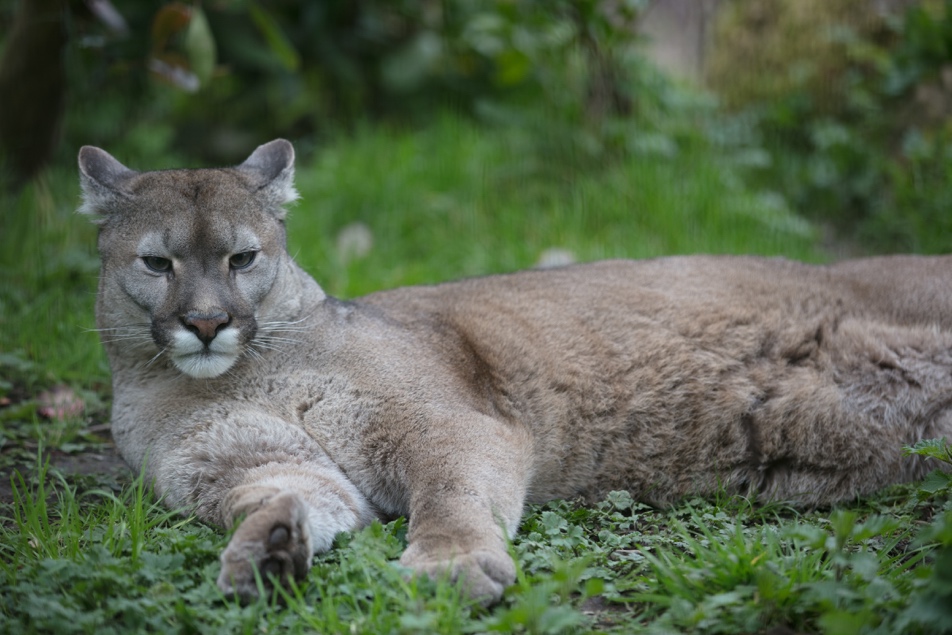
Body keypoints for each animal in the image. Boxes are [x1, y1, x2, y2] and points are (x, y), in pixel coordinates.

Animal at [80, 139, 952, 608]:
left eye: (242, 258)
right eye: (157, 263)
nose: (205, 322)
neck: (234, 375)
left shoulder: (444, 422)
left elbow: (448, 491)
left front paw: (449, 563)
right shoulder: (263, 464)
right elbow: (289, 494)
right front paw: (264, 547)